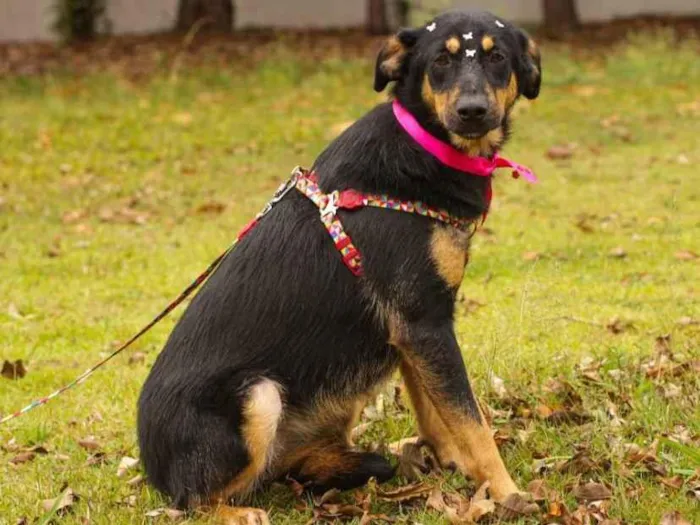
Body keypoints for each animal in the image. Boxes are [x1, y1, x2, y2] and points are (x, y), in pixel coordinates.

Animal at [138, 9, 540, 524]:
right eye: (441, 62)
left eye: (497, 58)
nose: (472, 111)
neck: (424, 145)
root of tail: (151, 464)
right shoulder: (424, 324)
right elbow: (472, 423)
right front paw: (507, 492)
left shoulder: (413, 331)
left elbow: (435, 410)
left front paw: (452, 463)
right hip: (258, 396)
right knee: (191, 501)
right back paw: (238, 512)